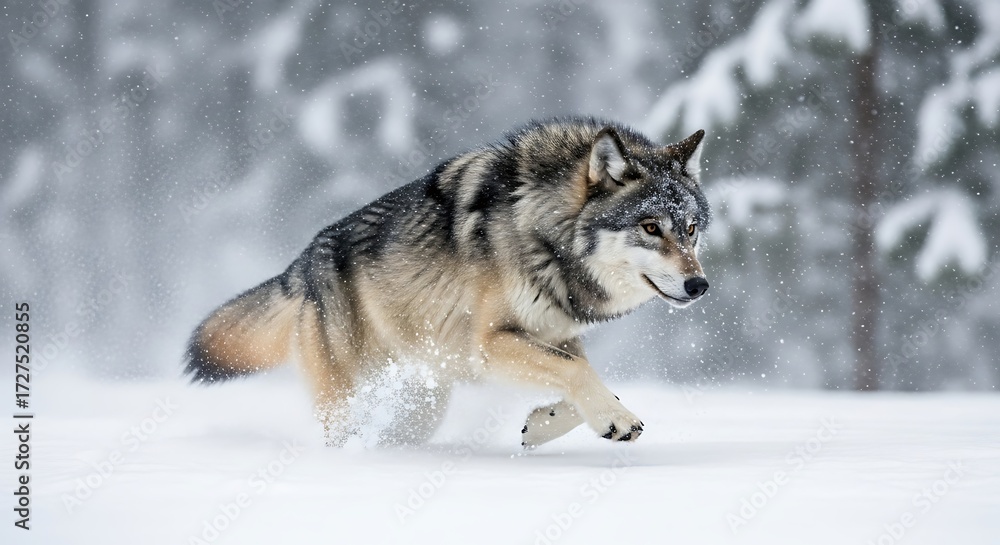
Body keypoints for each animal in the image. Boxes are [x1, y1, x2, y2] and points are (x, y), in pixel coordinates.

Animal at [185, 117, 711, 448]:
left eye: (690, 229)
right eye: (650, 228)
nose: (699, 286)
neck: (544, 232)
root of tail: (301, 262)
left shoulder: (554, 335)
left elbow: (581, 375)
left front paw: (543, 425)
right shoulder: (490, 343)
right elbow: (580, 374)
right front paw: (615, 420)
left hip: (424, 402)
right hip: (352, 392)